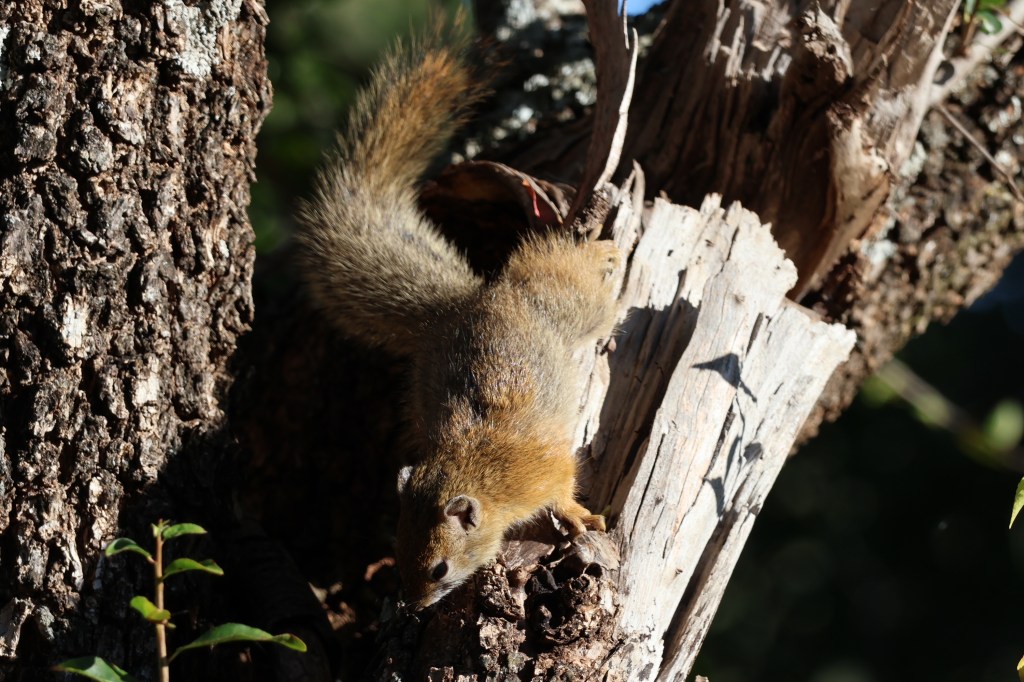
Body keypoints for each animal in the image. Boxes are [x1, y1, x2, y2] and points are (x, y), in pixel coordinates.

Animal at [295, 18, 621, 610]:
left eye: (440, 567)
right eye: (397, 553)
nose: (414, 605)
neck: (479, 473)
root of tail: (474, 300)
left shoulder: (547, 470)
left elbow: (564, 493)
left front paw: (577, 517)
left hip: (573, 308)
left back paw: (609, 256)